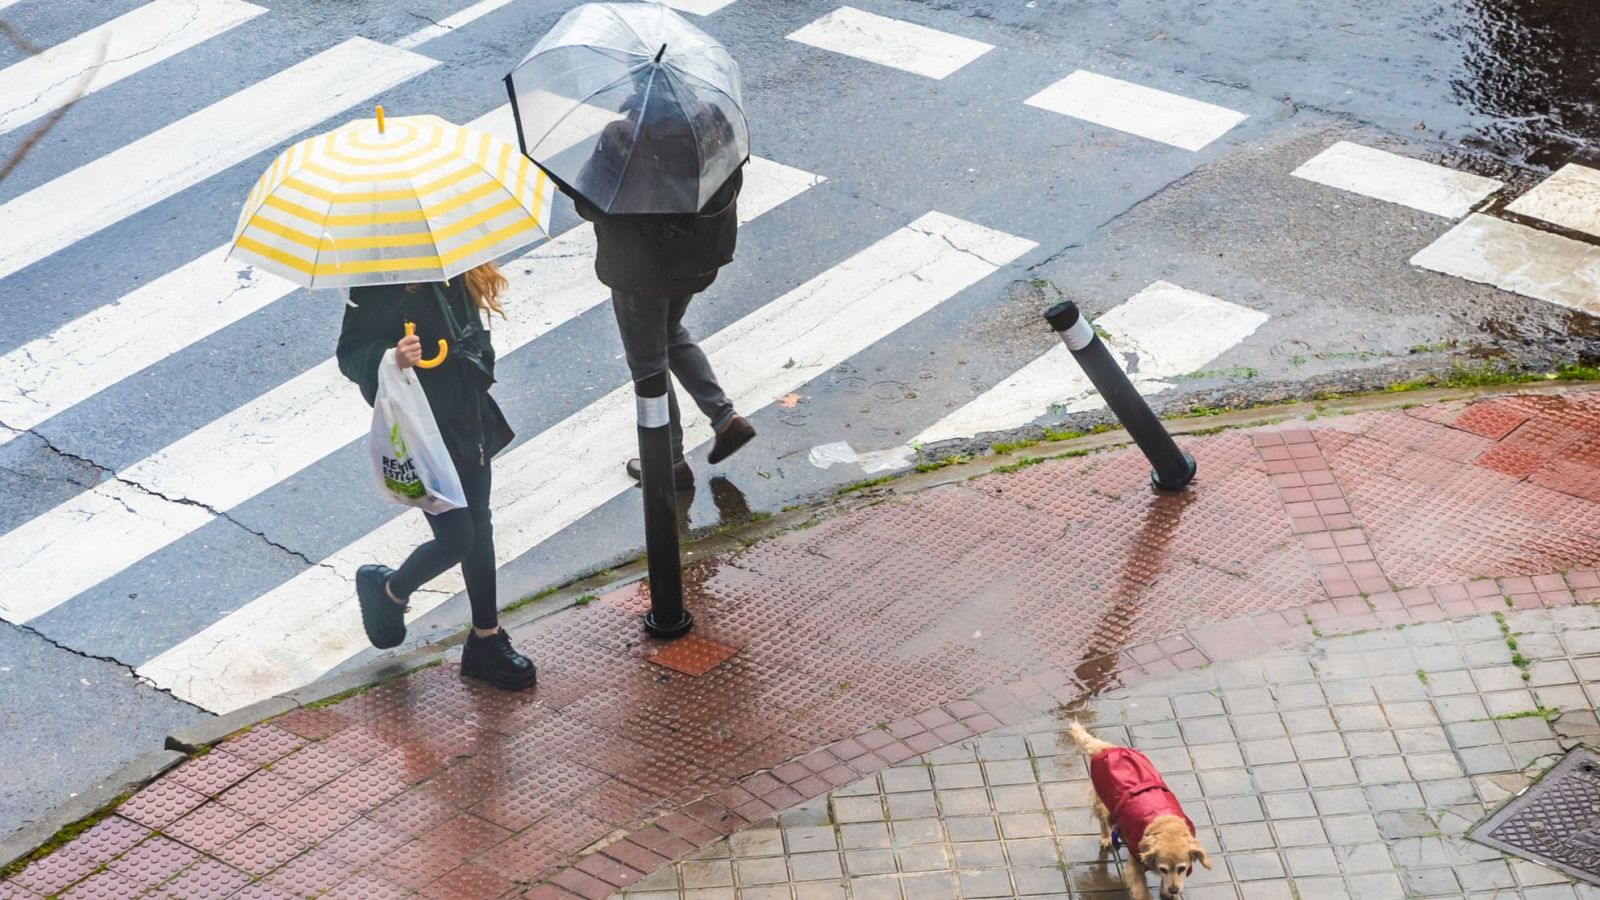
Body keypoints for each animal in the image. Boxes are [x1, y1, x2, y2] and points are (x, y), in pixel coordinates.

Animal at [1068, 714, 1203, 896]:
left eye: (1182, 868)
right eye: (1163, 869)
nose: (1174, 890)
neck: (1163, 821)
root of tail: (1107, 748)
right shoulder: (1134, 866)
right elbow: (1141, 892)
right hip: (1103, 802)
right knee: (1103, 820)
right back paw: (1106, 838)